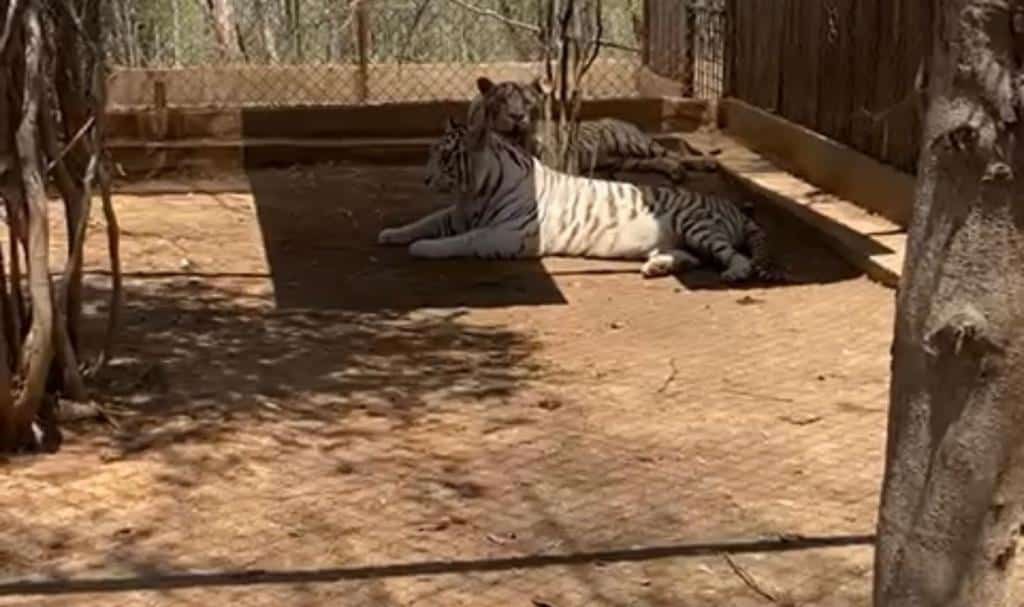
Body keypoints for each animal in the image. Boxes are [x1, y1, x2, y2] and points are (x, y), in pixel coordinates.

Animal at [377, 115, 786, 283]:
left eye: (446, 157)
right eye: (432, 152)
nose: (425, 177)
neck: (475, 192)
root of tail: (732, 206)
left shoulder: (509, 234)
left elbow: (462, 241)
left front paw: (423, 248)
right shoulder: (459, 213)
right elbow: (425, 220)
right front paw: (392, 234)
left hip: (697, 226)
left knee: (734, 256)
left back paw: (734, 273)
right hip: (678, 238)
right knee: (692, 258)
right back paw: (656, 267)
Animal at [467, 76, 719, 183]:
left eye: (527, 101)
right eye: (502, 101)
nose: (517, 116)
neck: (515, 139)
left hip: (633, 144)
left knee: (674, 154)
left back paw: (705, 163)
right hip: (625, 161)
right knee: (663, 160)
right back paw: (676, 172)